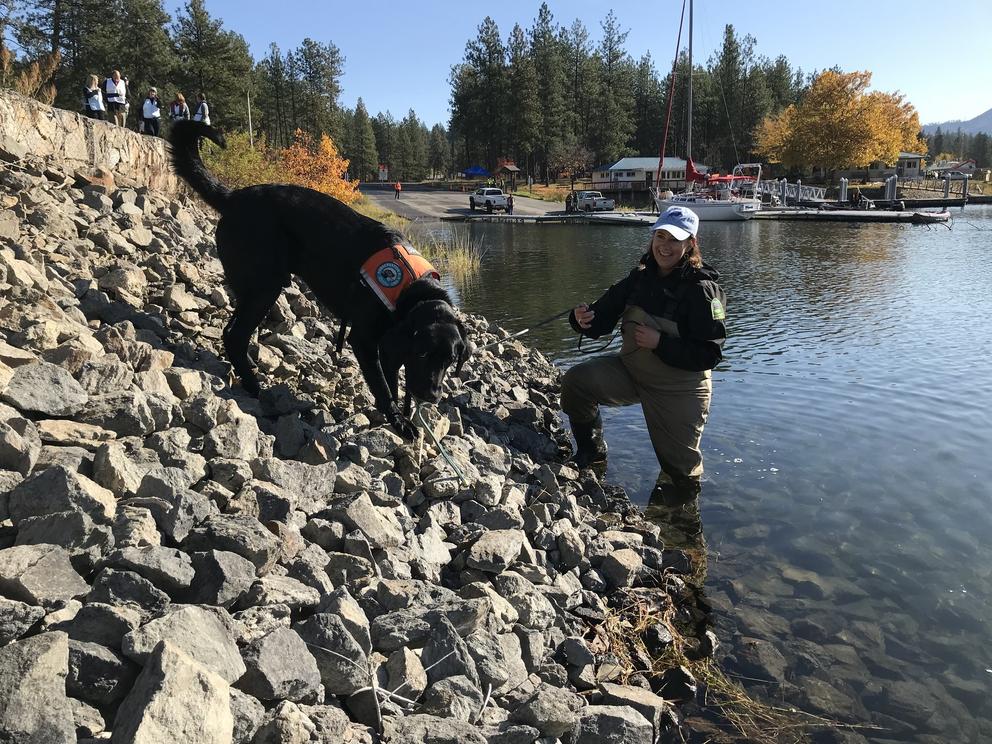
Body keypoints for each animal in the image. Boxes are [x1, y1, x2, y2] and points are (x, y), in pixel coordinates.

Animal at [169, 119, 466, 438]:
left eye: (450, 361)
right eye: (422, 354)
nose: (432, 396)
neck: (412, 291)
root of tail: (234, 197)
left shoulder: (390, 345)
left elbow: (394, 383)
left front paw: (403, 416)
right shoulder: (365, 340)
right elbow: (384, 387)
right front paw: (399, 422)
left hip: (255, 287)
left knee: (234, 332)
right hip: (264, 285)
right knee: (234, 334)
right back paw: (254, 387)